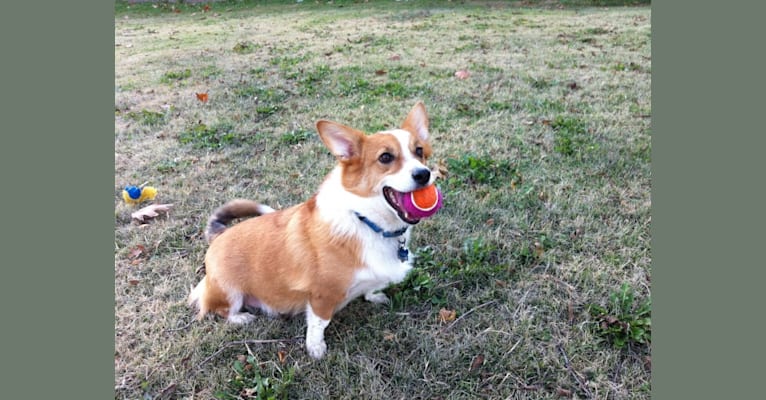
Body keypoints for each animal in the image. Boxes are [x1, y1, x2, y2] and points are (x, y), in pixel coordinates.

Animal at [190, 101, 438, 358]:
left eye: (419, 151)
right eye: (386, 157)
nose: (424, 174)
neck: (365, 220)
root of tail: (218, 236)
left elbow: (371, 288)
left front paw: (374, 295)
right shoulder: (322, 295)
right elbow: (319, 323)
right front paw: (316, 348)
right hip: (230, 292)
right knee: (217, 308)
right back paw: (241, 318)